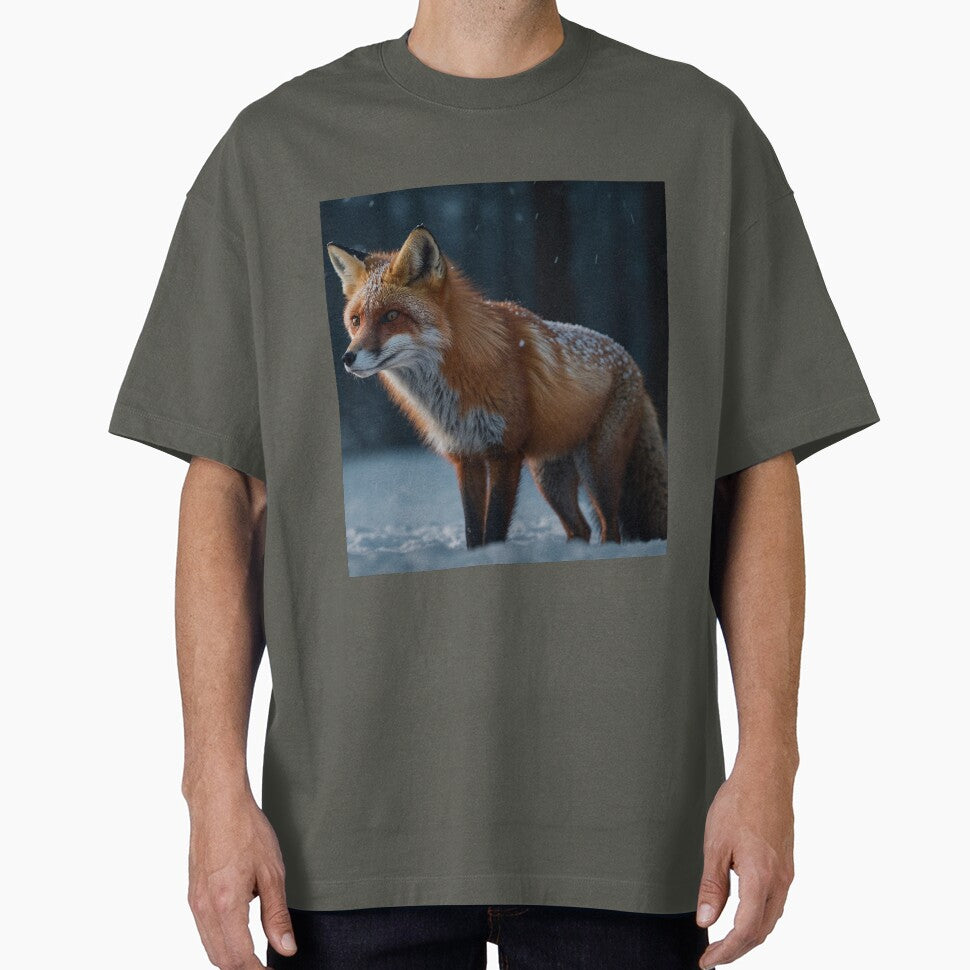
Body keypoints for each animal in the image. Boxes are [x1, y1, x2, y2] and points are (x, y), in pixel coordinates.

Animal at [327, 225, 667, 549]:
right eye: (356, 320)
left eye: (392, 315)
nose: (347, 358)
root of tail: (628, 359)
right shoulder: (466, 455)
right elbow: (472, 530)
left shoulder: (505, 452)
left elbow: (494, 527)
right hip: (549, 476)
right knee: (580, 528)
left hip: (597, 467)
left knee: (610, 528)